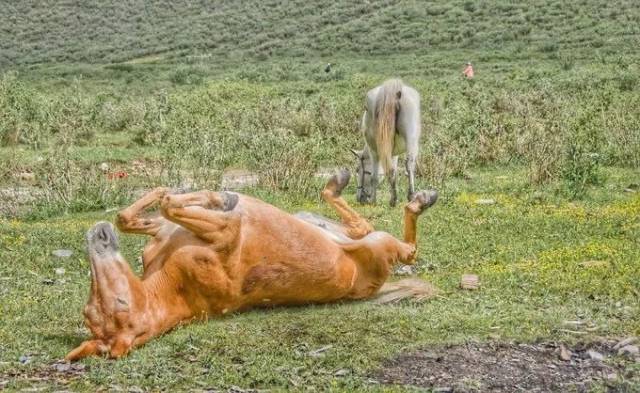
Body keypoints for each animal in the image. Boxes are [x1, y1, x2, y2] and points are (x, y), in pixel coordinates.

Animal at [66, 168, 436, 358]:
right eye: (120, 304)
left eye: (88, 311)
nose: (97, 235)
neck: (175, 283)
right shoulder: (227, 231)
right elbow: (174, 204)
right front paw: (220, 197)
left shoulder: (164, 234)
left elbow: (134, 213)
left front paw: (171, 190)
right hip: (380, 246)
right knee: (406, 248)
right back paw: (419, 200)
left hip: (322, 224)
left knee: (359, 224)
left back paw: (339, 182)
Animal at [350, 78, 420, 207]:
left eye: (358, 170)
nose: (359, 198)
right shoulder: (394, 153)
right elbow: (394, 172)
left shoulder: (374, 152)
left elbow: (374, 177)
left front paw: (373, 200)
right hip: (411, 138)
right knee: (409, 164)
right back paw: (410, 196)